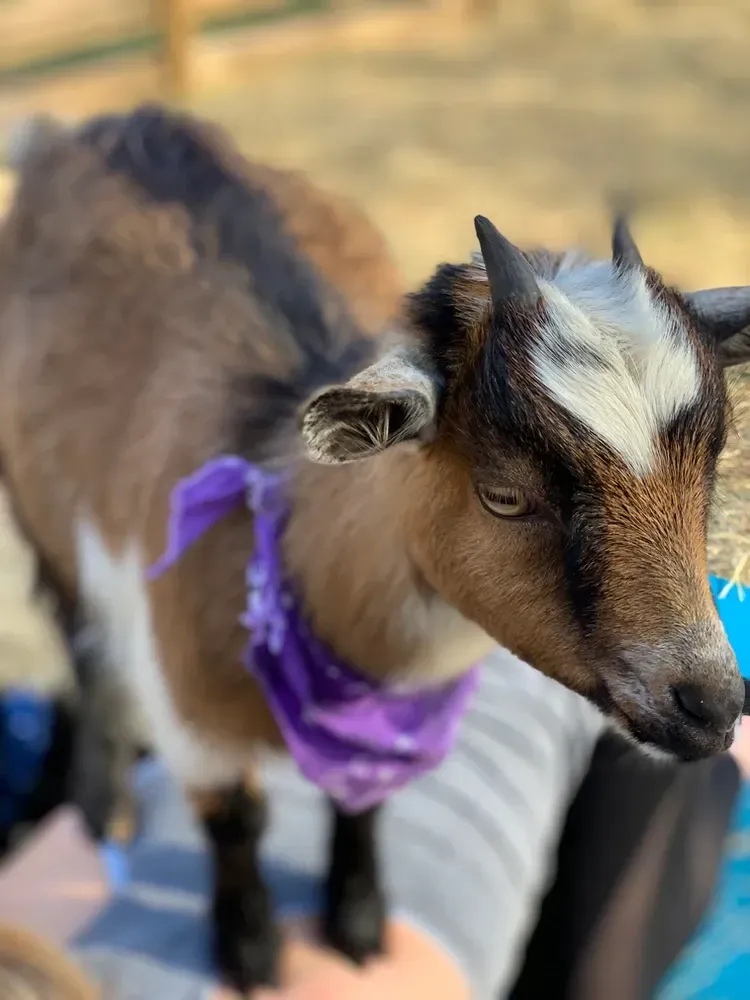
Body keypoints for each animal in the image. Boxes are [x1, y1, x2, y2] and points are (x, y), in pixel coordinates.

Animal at [3, 105, 750, 991]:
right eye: (504, 496)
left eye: (712, 467)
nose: (712, 704)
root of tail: (89, 129)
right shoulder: (189, 714)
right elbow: (234, 819)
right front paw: (250, 951)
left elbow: (361, 802)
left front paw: (357, 923)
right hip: (39, 508)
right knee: (77, 632)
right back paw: (102, 798)